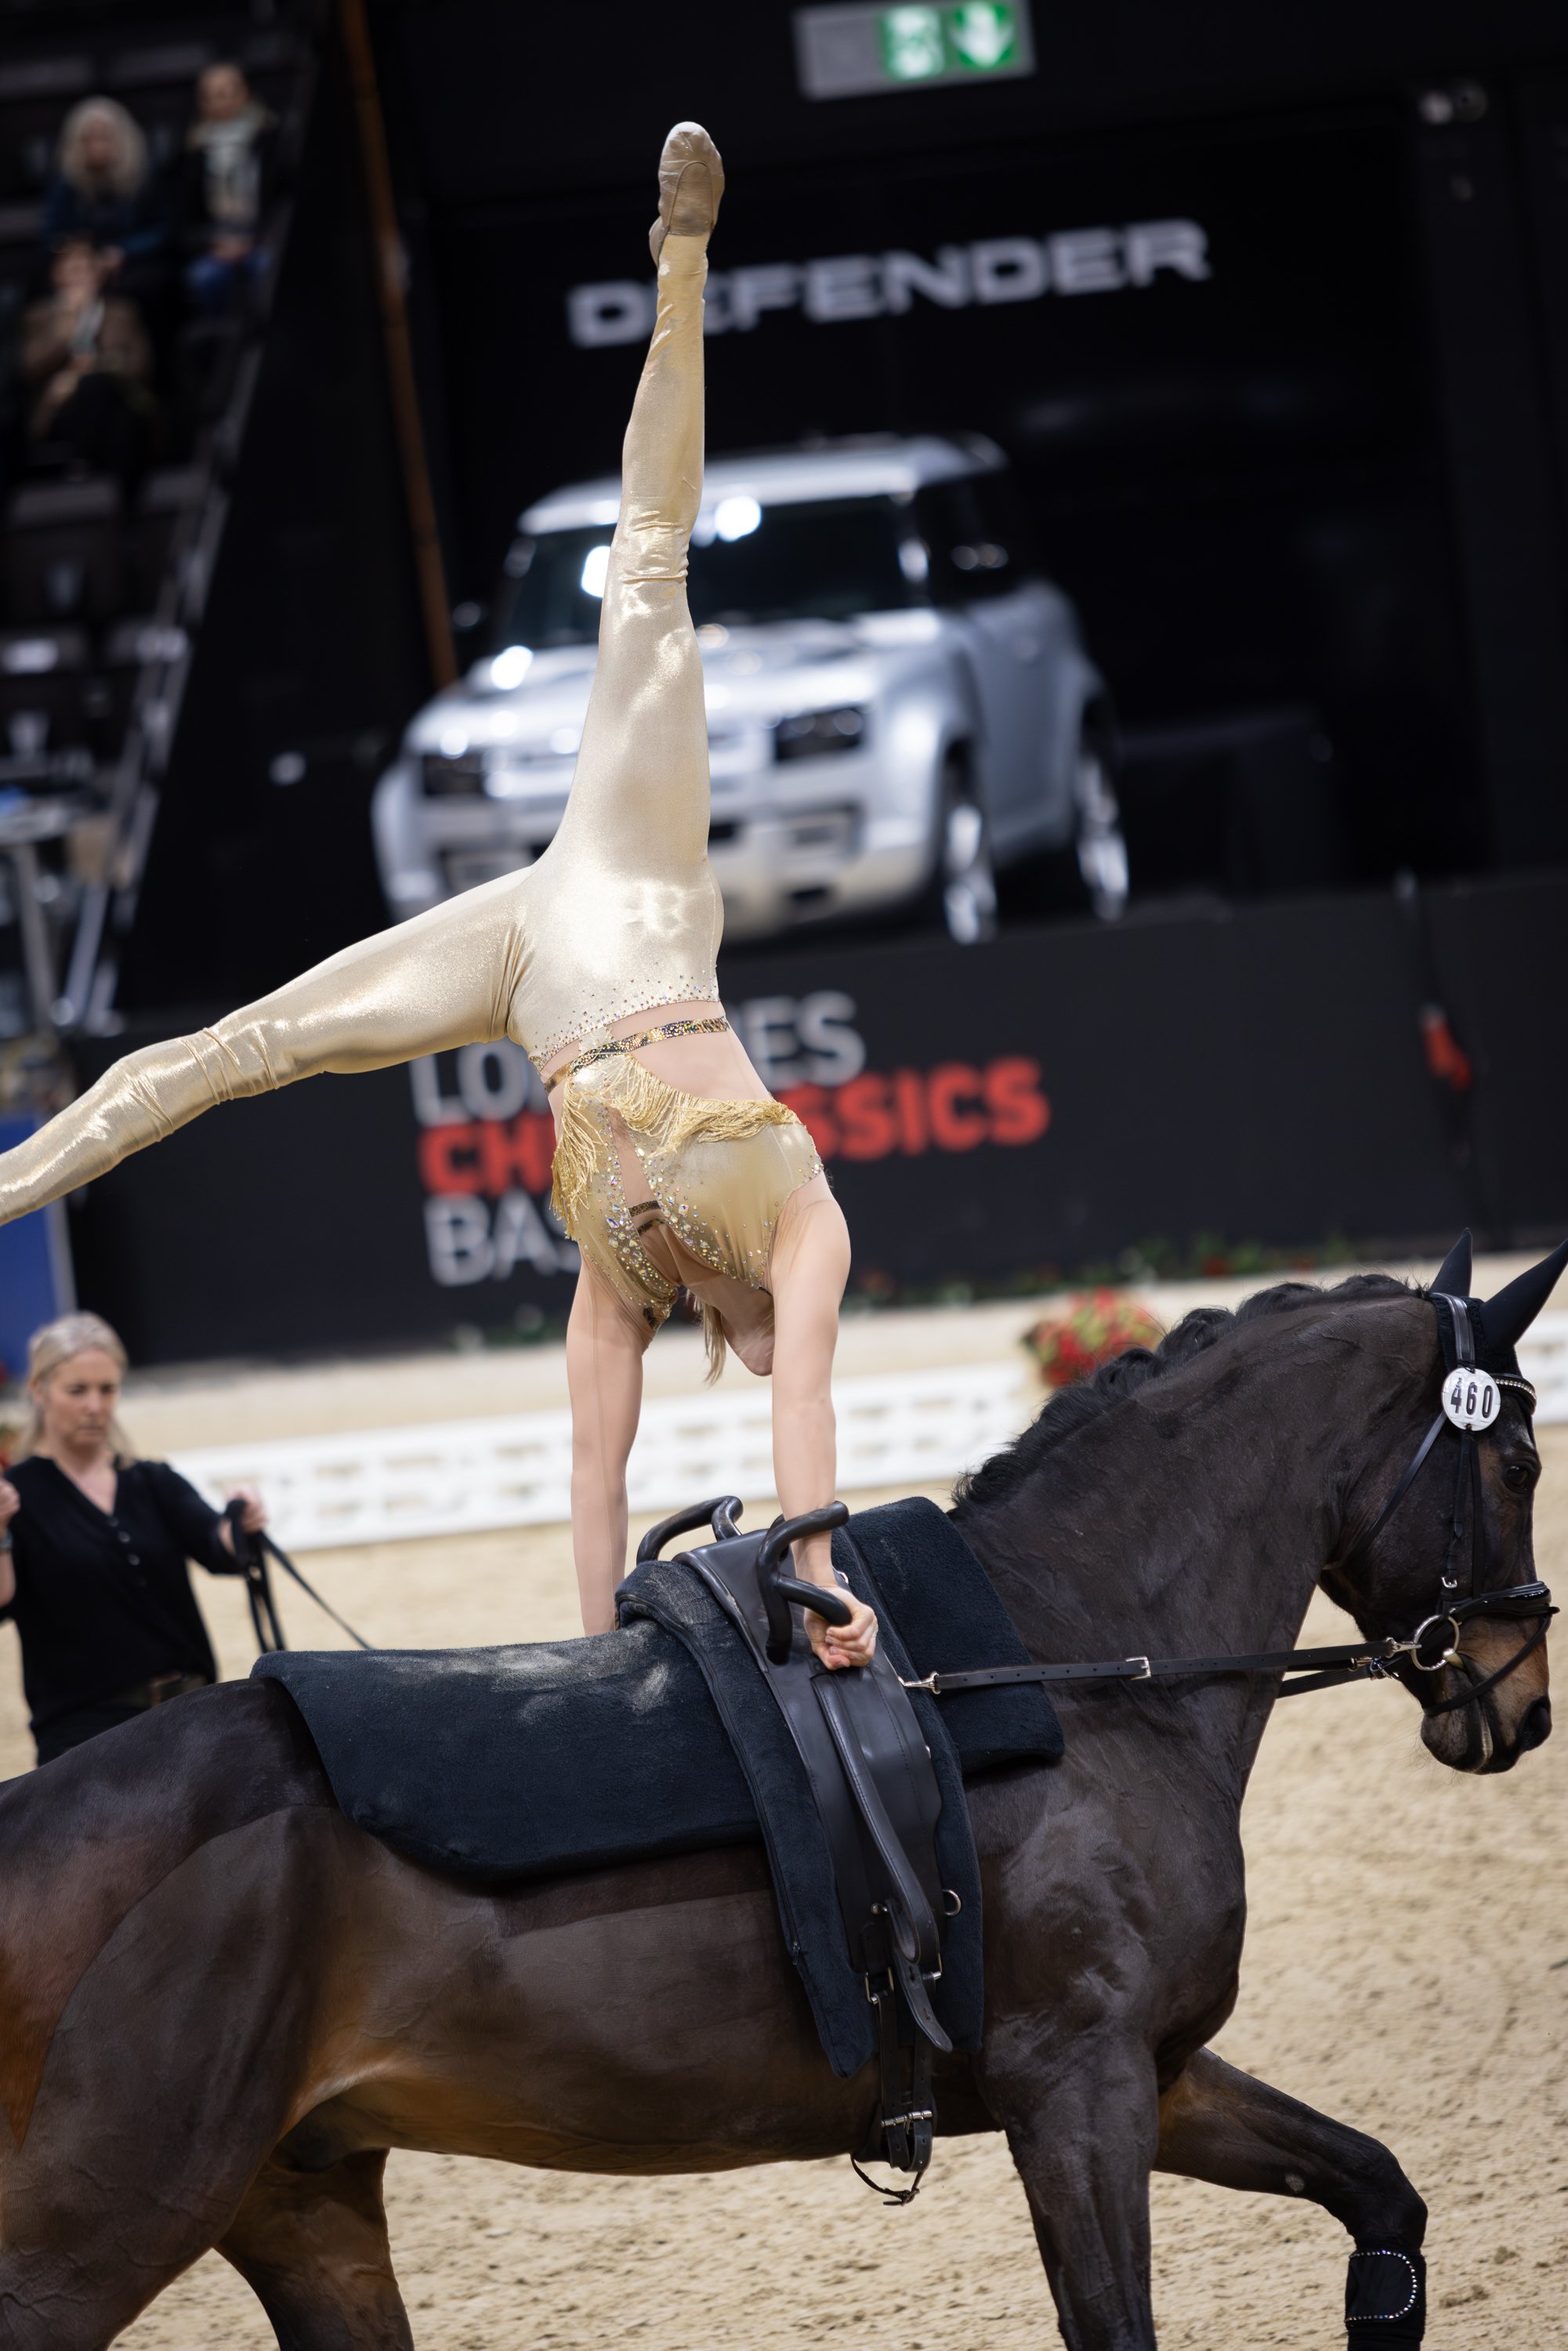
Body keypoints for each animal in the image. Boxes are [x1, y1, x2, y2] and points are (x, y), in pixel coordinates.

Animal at [0, 1255, 1556, 2350]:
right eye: (1521, 1461)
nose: (1520, 1699)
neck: (1073, 1658)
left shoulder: (1155, 2074)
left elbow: (1379, 2192)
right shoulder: (1080, 2085)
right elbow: (1115, 2324)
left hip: (303, 2199)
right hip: (114, 2219)